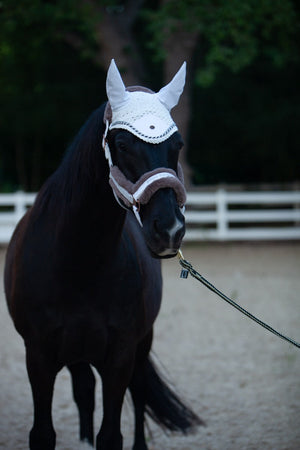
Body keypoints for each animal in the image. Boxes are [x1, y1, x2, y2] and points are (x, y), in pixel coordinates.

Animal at [4, 60, 202, 450]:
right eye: (122, 143)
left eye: (178, 145)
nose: (170, 230)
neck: (78, 262)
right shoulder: (38, 356)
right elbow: (43, 433)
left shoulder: (120, 356)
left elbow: (111, 434)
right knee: (84, 391)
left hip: (141, 345)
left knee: (138, 395)